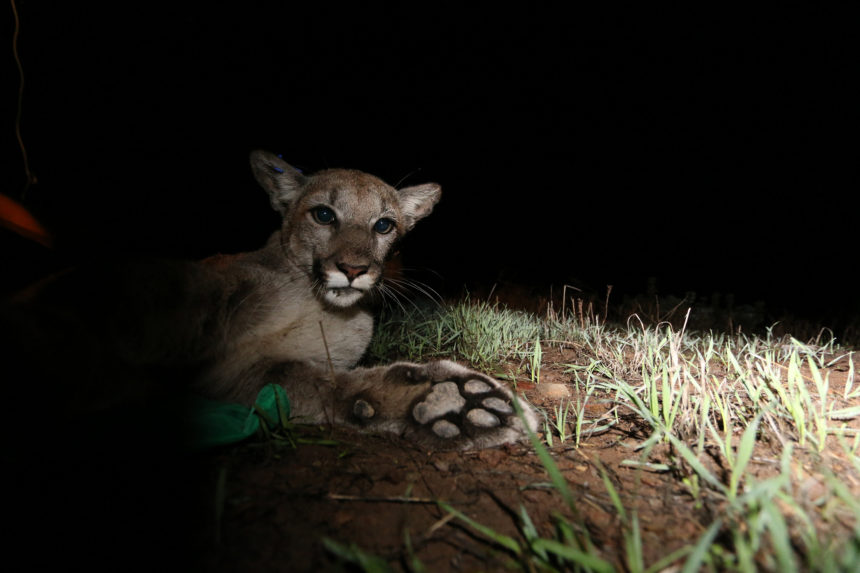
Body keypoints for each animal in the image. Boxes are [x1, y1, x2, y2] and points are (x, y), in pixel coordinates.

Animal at [1, 150, 536, 450]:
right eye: (324, 214)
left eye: (385, 225)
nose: (354, 269)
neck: (316, 303)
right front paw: (450, 400)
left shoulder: (245, 371)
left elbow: (307, 378)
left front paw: (448, 403)